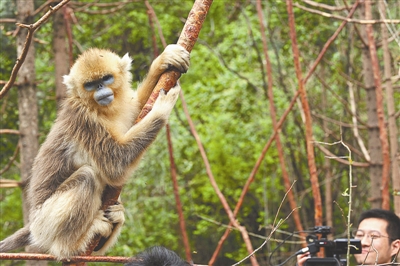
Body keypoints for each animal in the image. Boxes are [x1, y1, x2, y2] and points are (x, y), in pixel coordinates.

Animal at [0, 44, 190, 258]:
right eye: (90, 84)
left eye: (106, 78)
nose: (100, 88)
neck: (98, 109)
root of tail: (32, 225)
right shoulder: (83, 118)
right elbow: (116, 165)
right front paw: (162, 107)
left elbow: (137, 108)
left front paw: (163, 61)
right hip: (46, 223)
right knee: (87, 176)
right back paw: (70, 247)